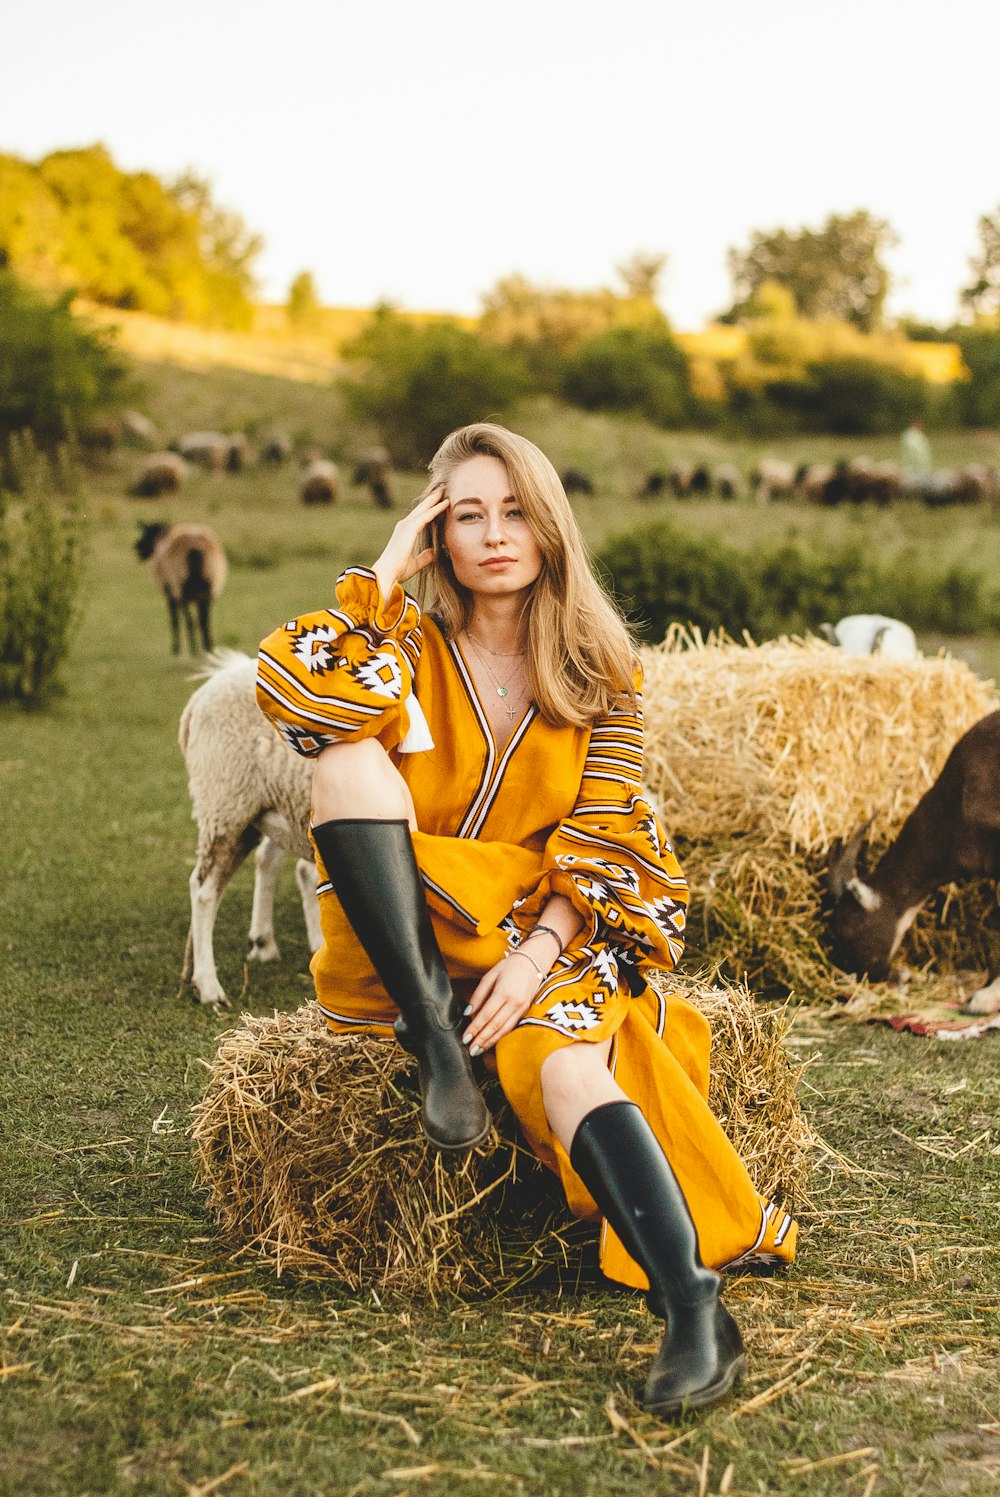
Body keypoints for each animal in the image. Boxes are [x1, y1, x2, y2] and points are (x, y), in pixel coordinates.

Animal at [134, 523, 229, 652]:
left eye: (147, 533)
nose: (136, 546)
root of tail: (195, 546)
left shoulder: (171, 595)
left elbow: (174, 621)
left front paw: (175, 648)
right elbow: (200, 621)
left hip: (181, 589)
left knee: (190, 622)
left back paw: (194, 649)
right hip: (209, 589)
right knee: (204, 621)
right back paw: (208, 648)